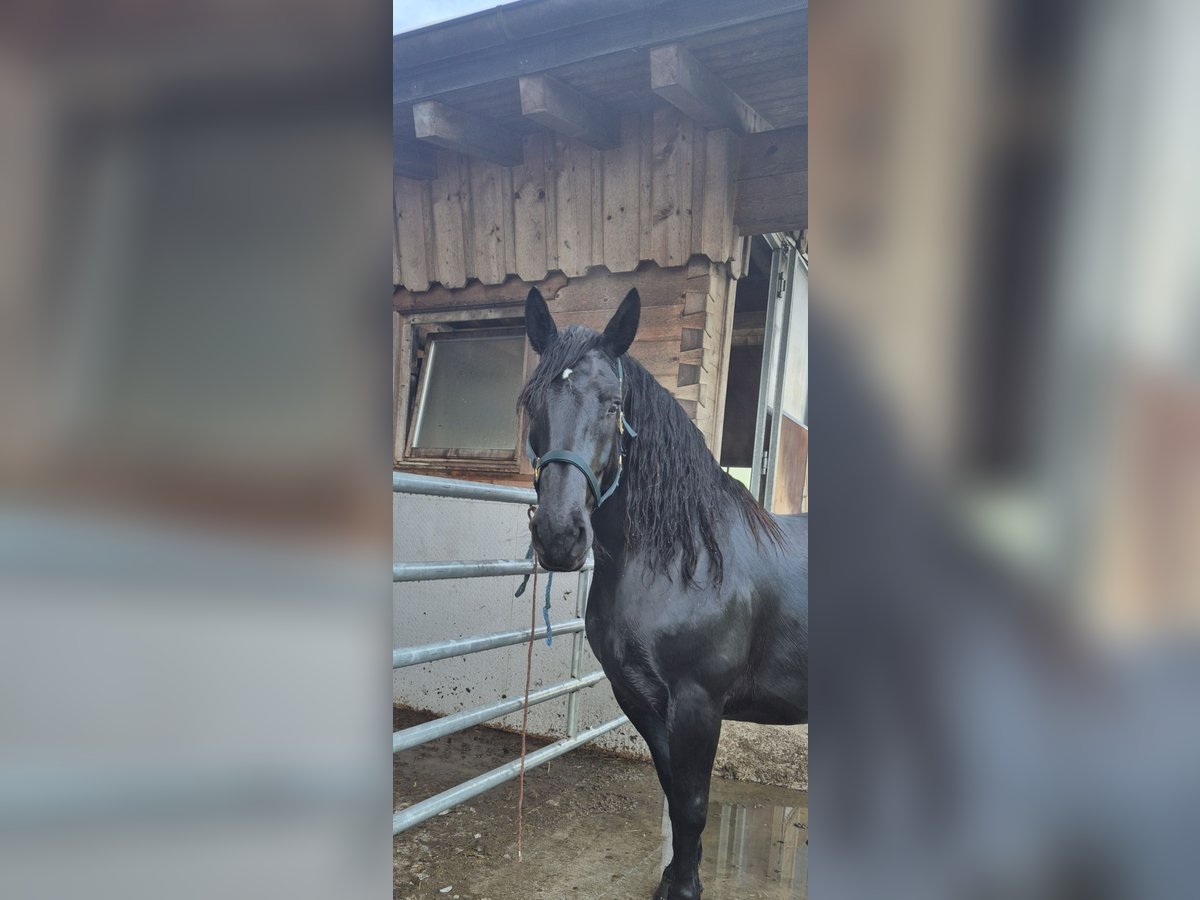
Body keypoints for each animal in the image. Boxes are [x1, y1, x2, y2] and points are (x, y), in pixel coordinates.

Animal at [518, 285, 808, 900]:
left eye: (613, 404)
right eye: (533, 403)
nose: (558, 537)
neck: (683, 560)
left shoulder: (699, 701)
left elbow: (694, 805)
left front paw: (685, 889)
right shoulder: (641, 699)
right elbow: (674, 795)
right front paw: (676, 878)